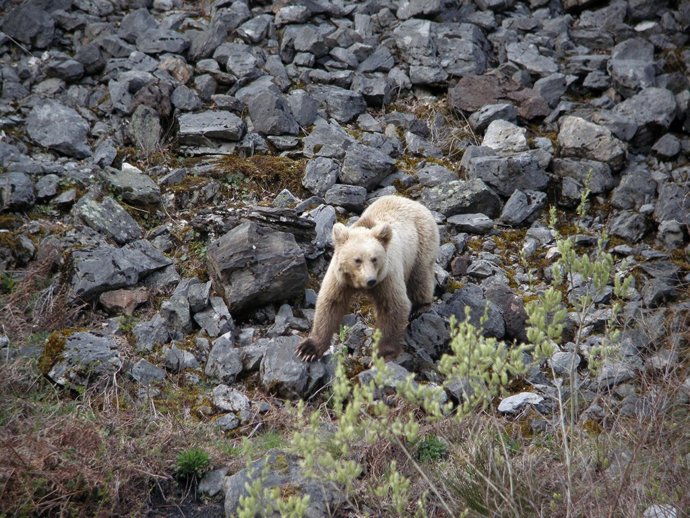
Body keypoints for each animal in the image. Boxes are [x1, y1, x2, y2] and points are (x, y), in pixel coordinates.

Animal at [296, 195, 440, 362]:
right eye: (357, 260)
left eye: (374, 259)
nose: (370, 280)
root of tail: (413, 202)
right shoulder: (339, 278)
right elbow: (330, 304)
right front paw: (308, 349)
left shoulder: (387, 276)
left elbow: (393, 306)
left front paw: (384, 353)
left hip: (421, 243)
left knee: (420, 276)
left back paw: (420, 307)